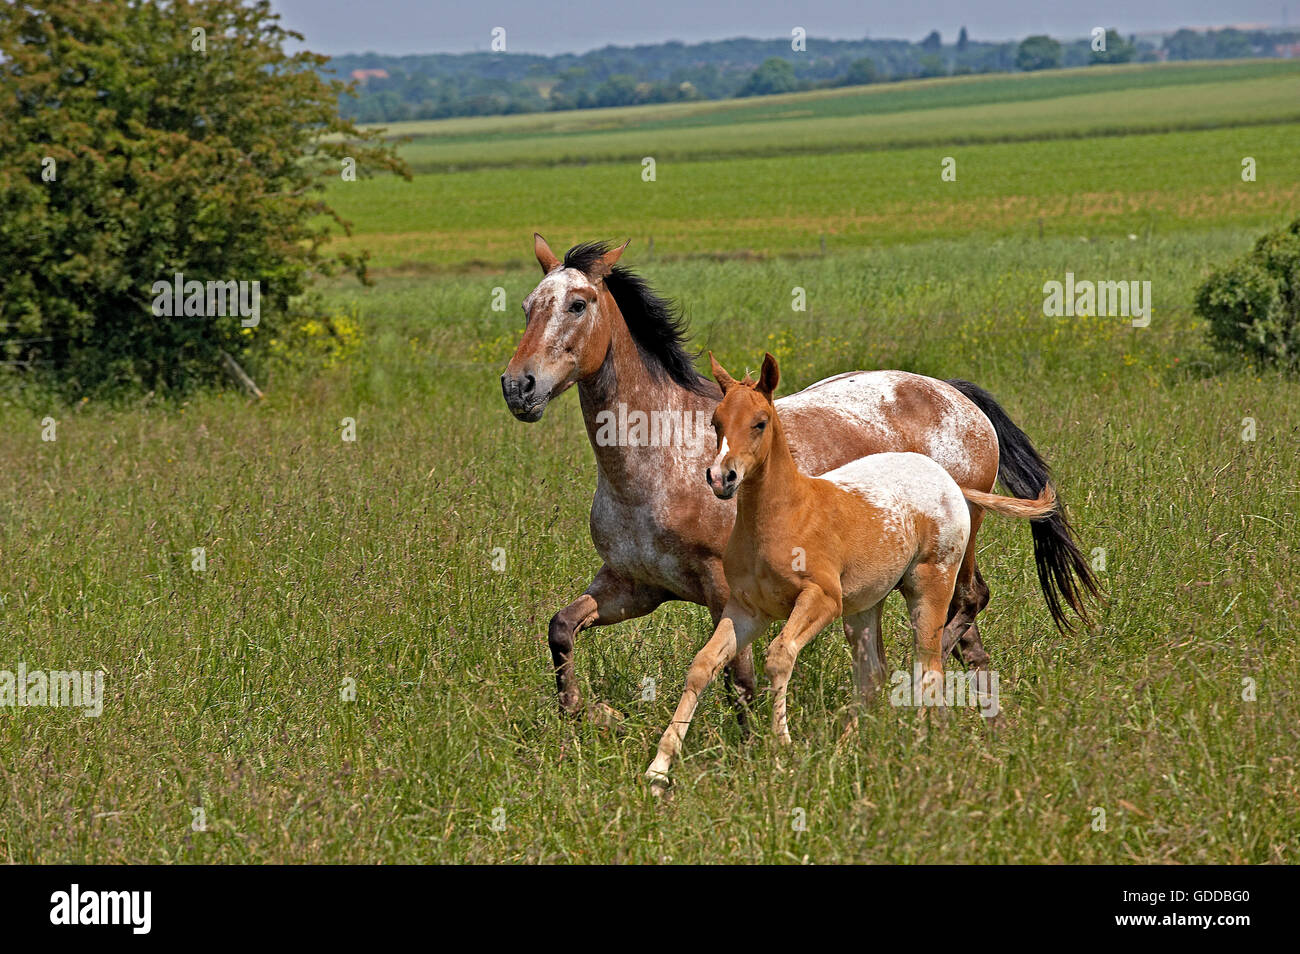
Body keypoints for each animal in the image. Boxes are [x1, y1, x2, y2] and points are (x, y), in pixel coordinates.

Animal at [644, 356, 1050, 790]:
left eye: (760, 422)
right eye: (716, 422)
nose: (722, 478)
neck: (783, 514)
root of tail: (948, 480)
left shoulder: (821, 600)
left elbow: (780, 656)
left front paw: (783, 748)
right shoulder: (746, 610)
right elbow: (704, 664)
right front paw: (659, 769)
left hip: (930, 588)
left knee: (929, 667)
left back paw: (924, 747)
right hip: (864, 606)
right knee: (873, 675)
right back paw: (848, 750)